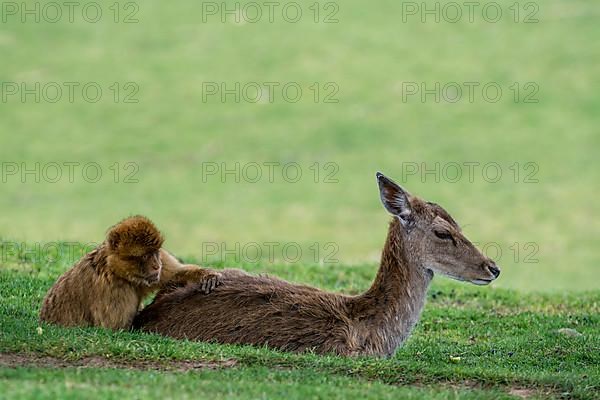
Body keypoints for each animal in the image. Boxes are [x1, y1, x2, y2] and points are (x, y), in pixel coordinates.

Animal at [39, 217, 223, 330]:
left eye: (155, 252)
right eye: (146, 256)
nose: (157, 265)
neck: (116, 270)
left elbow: (175, 274)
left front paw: (207, 276)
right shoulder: (114, 290)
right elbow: (116, 329)